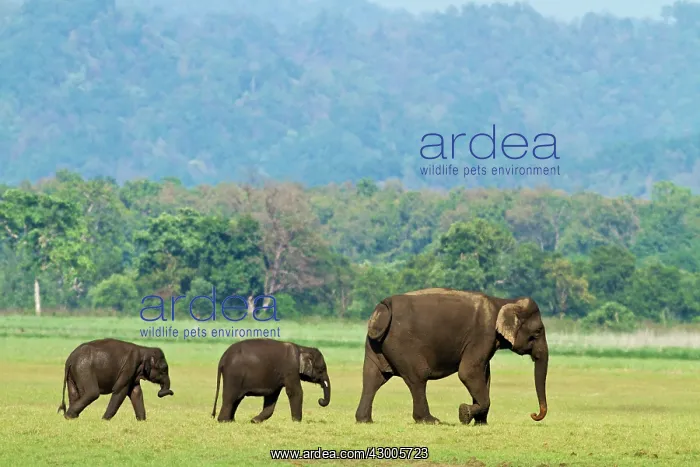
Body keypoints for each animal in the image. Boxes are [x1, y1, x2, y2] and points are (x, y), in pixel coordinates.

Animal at [354, 287, 548, 425]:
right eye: (538, 331)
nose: (533, 414)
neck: (503, 301)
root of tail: (383, 306)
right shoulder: (483, 335)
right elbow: (468, 372)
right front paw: (464, 414)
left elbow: (485, 375)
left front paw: (480, 422)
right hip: (402, 344)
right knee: (418, 376)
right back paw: (430, 420)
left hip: (376, 344)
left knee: (373, 377)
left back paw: (364, 420)